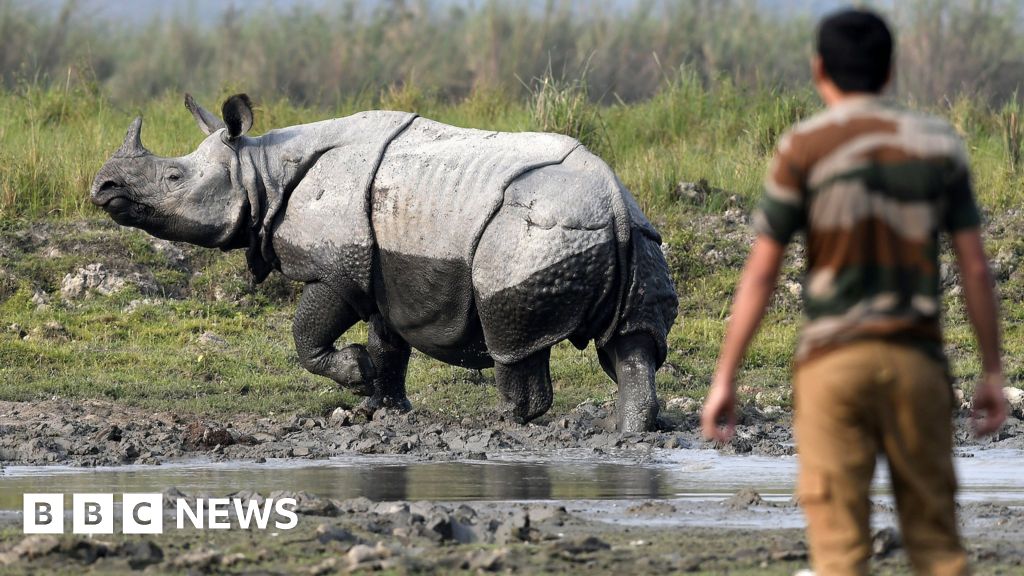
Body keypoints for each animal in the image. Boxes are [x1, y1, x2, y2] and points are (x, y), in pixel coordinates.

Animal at [90, 94, 678, 432]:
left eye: (174, 179)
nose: (103, 188)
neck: (261, 169)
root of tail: (613, 201)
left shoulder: (337, 266)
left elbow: (307, 335)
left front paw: (355, 375)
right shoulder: (384, 273)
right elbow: (387, 341)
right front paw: (381, 408)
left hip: (531, 235)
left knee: (511, 337)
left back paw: (507, 422)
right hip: (640, 238)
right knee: (629, 341)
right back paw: (626, 431)